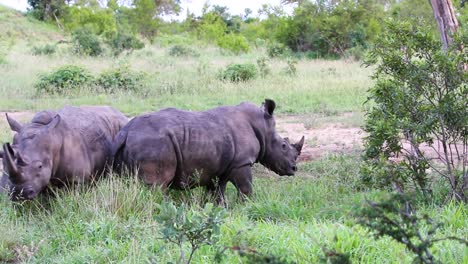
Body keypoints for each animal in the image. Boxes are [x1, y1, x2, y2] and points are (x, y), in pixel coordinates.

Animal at [113, 99, 304, 204]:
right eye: (284, 145)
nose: (294, 169)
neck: (263, 128)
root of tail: (126, 132)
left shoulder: (219, 166)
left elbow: (216, 192)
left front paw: (219, 209)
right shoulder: (241, 162)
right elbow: (246, 188)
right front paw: (246, 206)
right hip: (154, 143)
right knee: (157, 186)